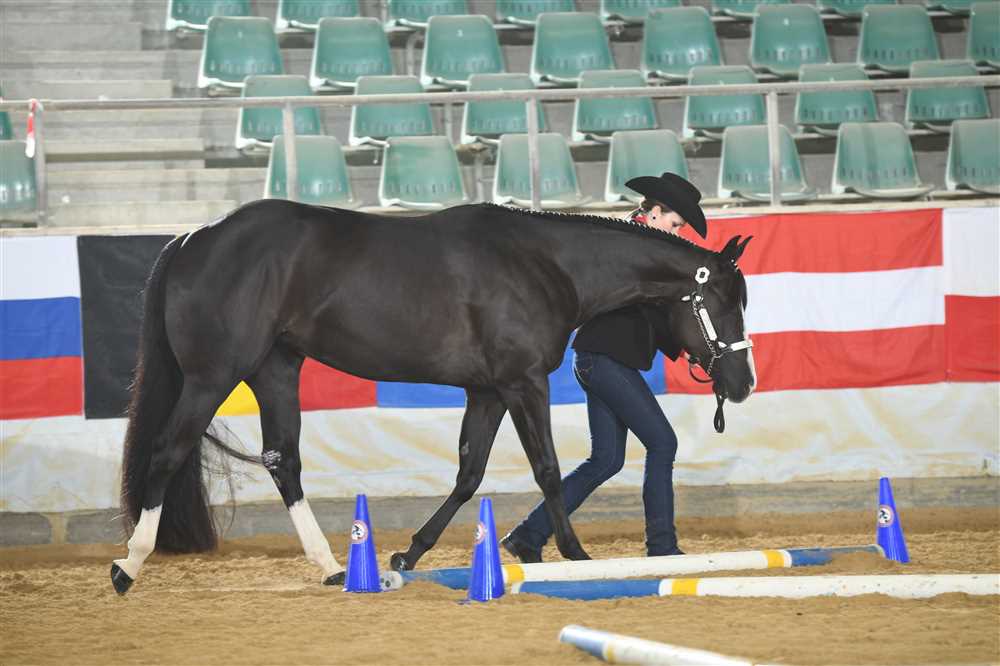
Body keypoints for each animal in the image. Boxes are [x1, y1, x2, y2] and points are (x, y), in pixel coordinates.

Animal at [110, 199, 755, 595]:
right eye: (725, 303)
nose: (743, 384)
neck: (544, 264)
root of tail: (195, 236)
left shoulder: (487, 390)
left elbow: (469, 473)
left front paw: (406, 556)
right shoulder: (523, 383)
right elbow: (547, 469)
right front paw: (575, 555)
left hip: (275, 370)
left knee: (283, 461)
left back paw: (333, 567)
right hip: (212, 376)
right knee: (167, 453)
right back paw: (127, 565)